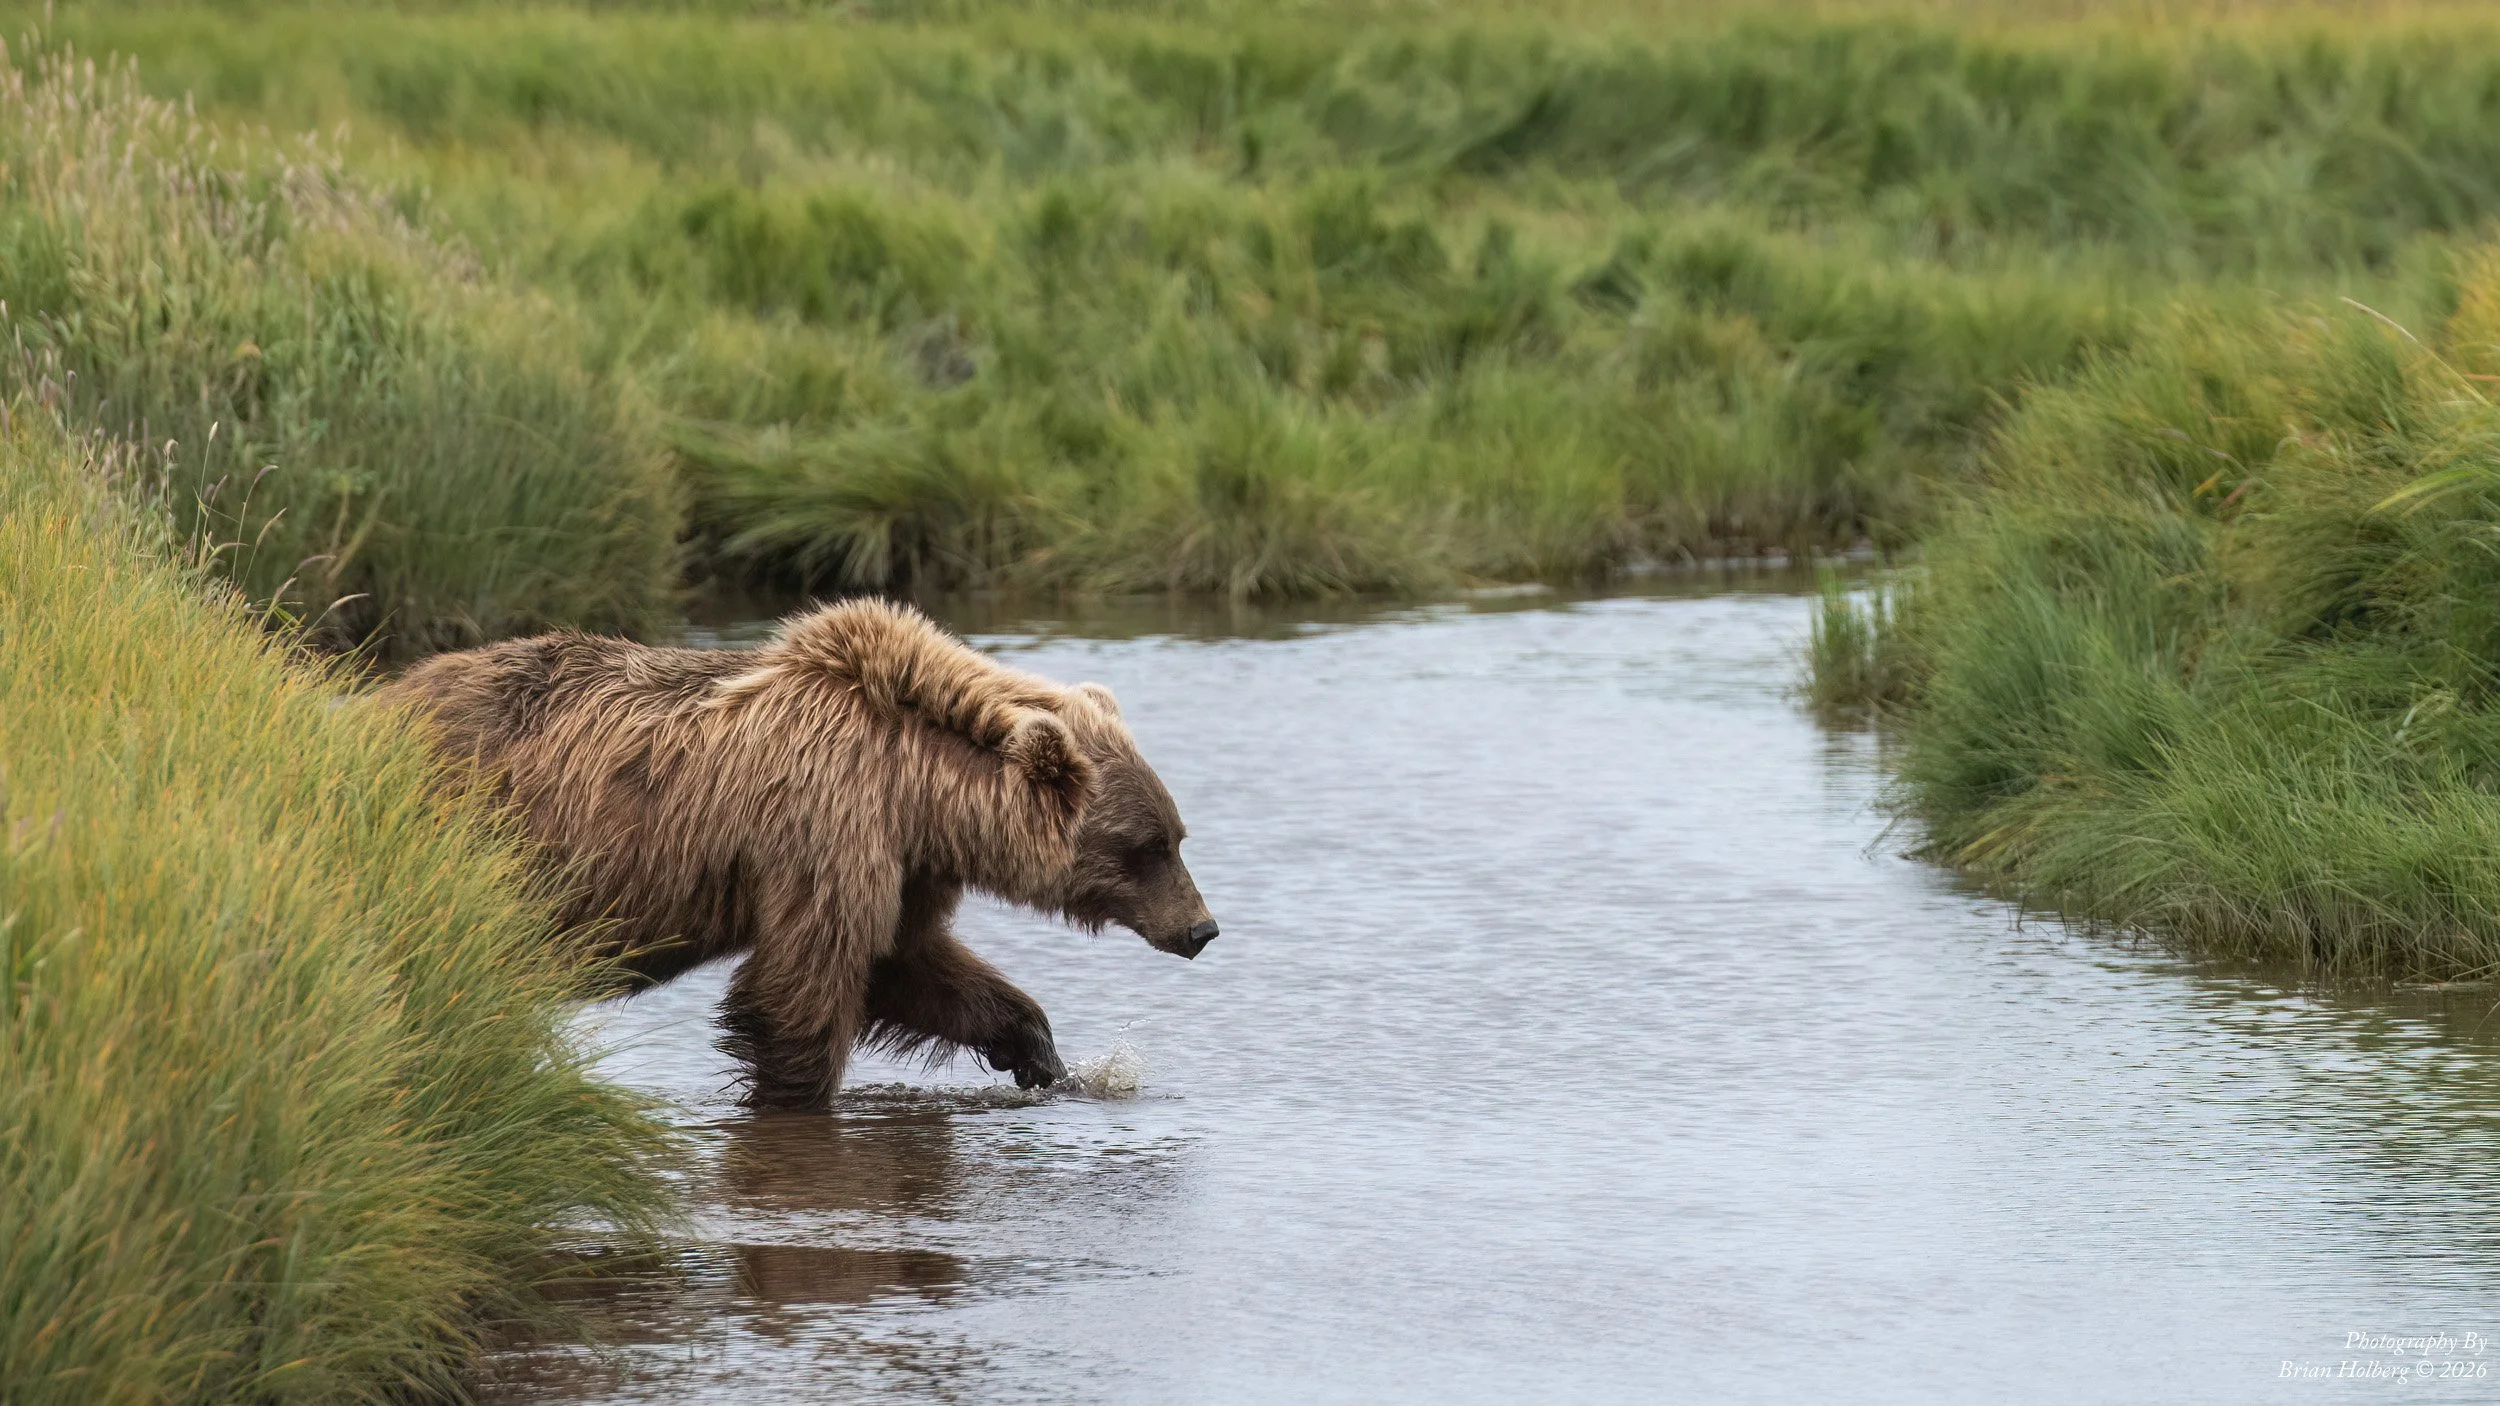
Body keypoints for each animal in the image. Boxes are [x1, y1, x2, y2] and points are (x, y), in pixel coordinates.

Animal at [378, 598, 1216, 1110]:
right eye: (1146, 846)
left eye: (1177, 836)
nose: (1202, 929)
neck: (919, 790)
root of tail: (377, 698)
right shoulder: (825, 827)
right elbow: (802, 992)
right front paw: (790, 1096)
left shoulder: (906, 864)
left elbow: (906, 964)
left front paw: (1041, 1057)